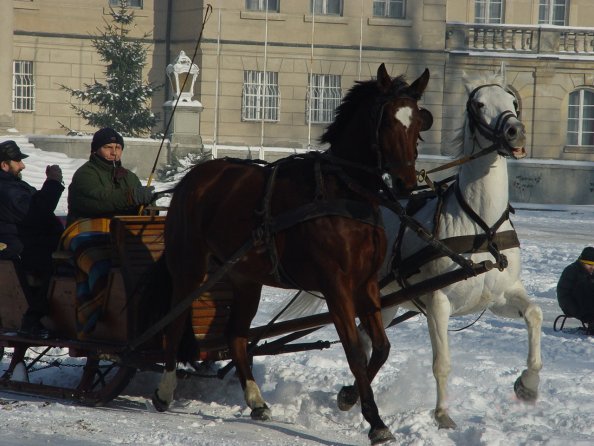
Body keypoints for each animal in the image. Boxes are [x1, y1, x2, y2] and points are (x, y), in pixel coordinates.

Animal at [145, 64, 430, 444]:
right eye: (385, 122)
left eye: (416, 123)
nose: (405, 183)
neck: (345, 192)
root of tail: (196, 176)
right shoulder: (335, 286)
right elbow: (356, 351)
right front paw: (375, 420)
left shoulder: (366, 283)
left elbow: (381, 347)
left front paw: (349, 396)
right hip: (189, 267)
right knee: (175, 323)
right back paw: (165, 390)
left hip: (245, 278)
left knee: (236, 335)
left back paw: (256, 400)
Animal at [284, 71, 540, 430]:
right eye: (478, 104)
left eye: (514, 101)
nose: (515, 131)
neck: (481, 224)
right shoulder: (438, 302)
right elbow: (442, 361)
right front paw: (443, 414)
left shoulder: (500, 296)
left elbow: (535, 314)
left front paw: (528, 385)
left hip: (385, 301)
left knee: (367, 341)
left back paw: (350, 394)